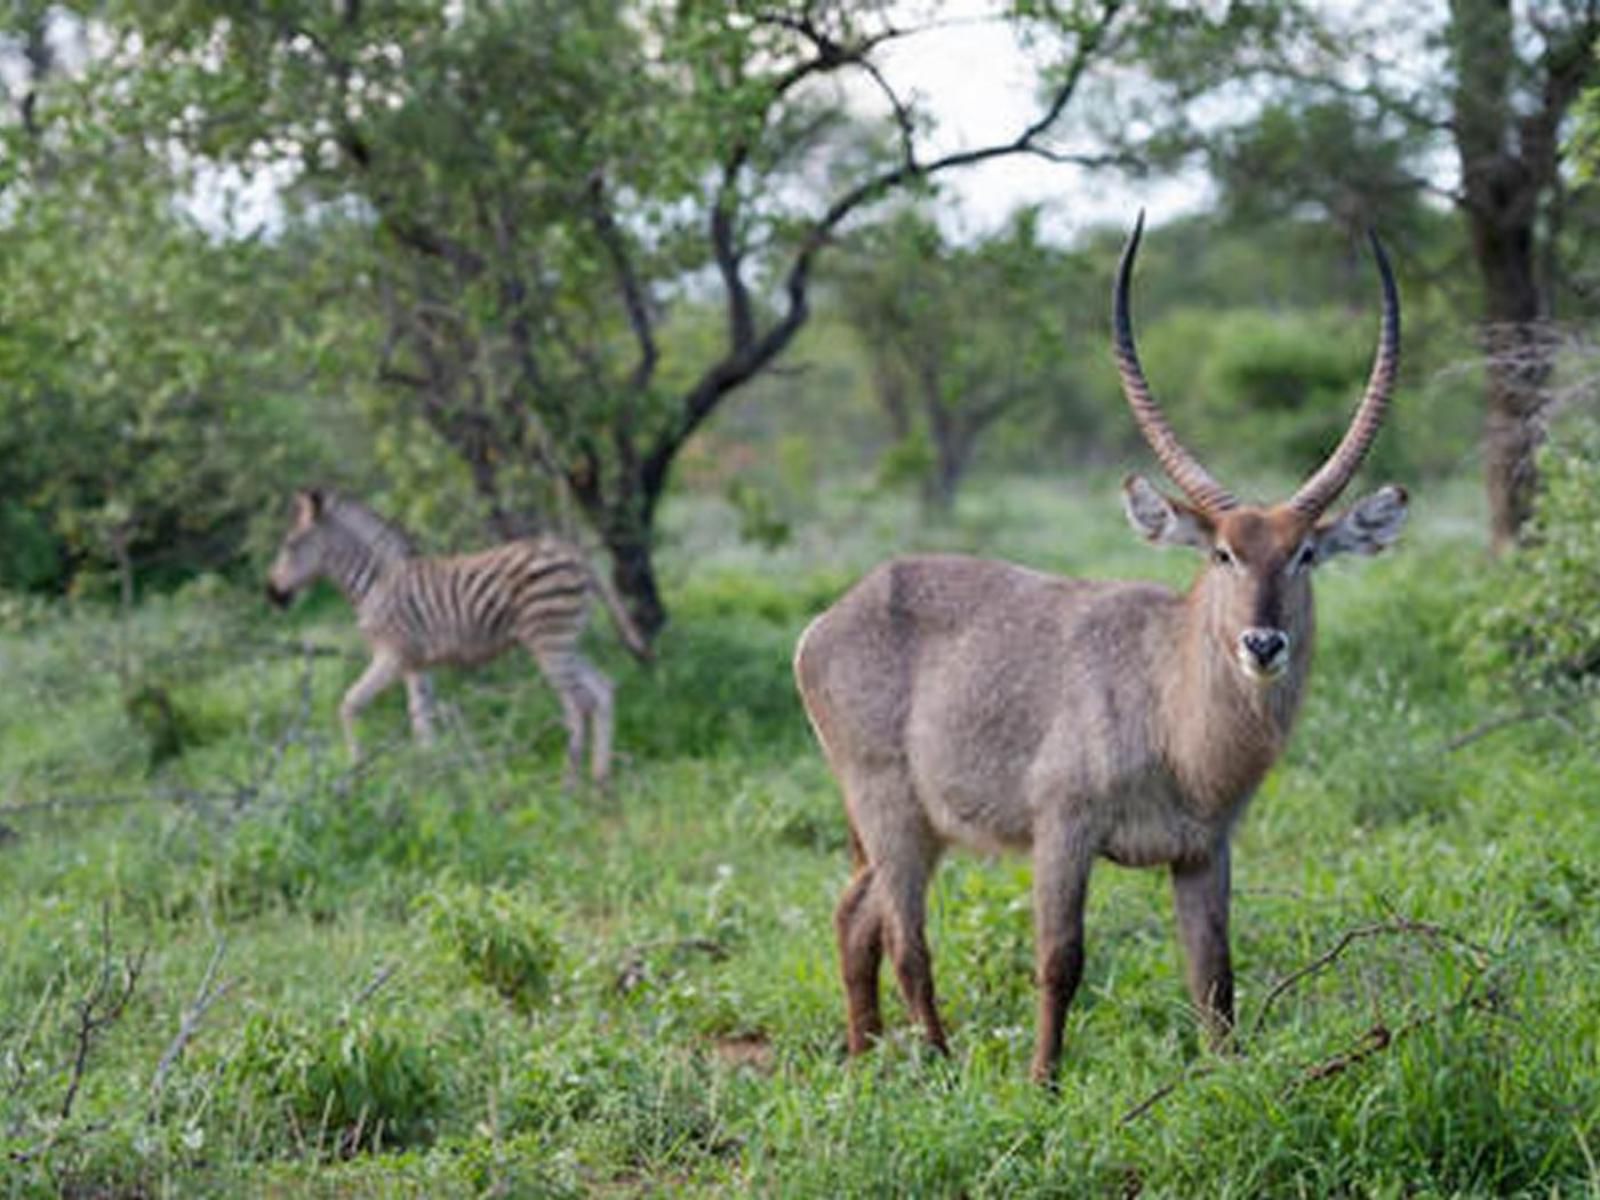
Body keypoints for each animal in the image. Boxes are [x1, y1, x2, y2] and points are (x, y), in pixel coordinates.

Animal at [268, 489, 649, 790]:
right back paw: (601, 779)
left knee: (576, 704)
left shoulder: (391, 655)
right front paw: (432, 775)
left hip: (549, 641)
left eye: (289, 545)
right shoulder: (415, 665)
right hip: (567, 642)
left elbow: (349, 704)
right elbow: (422, 721)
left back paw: (570, 783)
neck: (375, 582)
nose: (271, 594)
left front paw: (357, 769)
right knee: (602, 689)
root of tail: (573, 552)